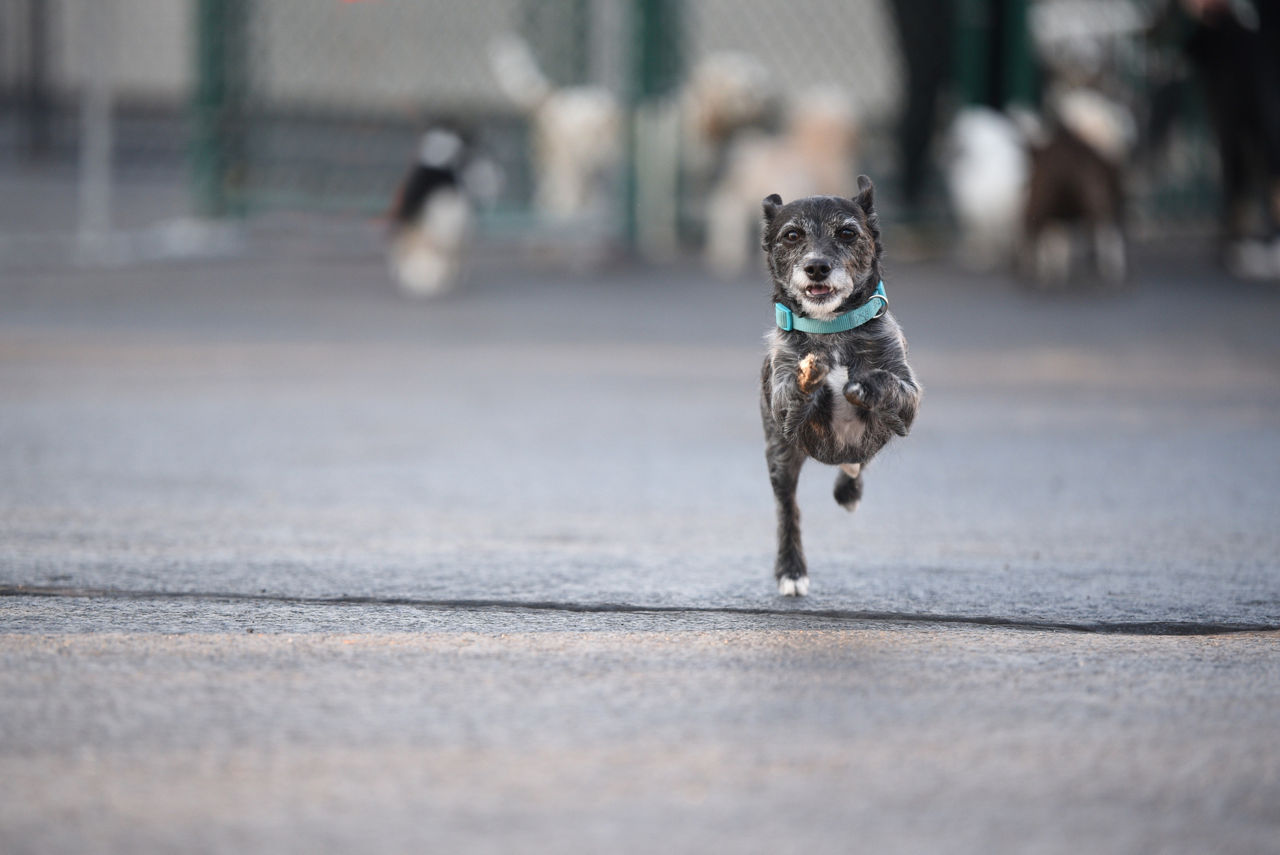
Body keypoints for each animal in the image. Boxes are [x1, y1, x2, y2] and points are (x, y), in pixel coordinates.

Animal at [752, 180, 926, 593]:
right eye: (792, 235)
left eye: (847, 233)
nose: (817, 267)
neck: (831, 329)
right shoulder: (784, 412)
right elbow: (797, 389)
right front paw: (812, 374)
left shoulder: (908, 403)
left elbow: (887, 382)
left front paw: (863, 383)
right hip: (780, 458)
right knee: (788, 509)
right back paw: (791, 571)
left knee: (858, 464)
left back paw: (848, 491)